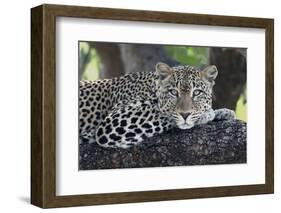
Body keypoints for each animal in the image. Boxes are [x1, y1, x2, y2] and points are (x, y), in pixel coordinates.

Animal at [79, 61, 234, 148]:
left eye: (197, 92)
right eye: (173, 92)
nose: (185, 114)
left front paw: (223, 112)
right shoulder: (114, 121)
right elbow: (163, 113)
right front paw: (207, 114)